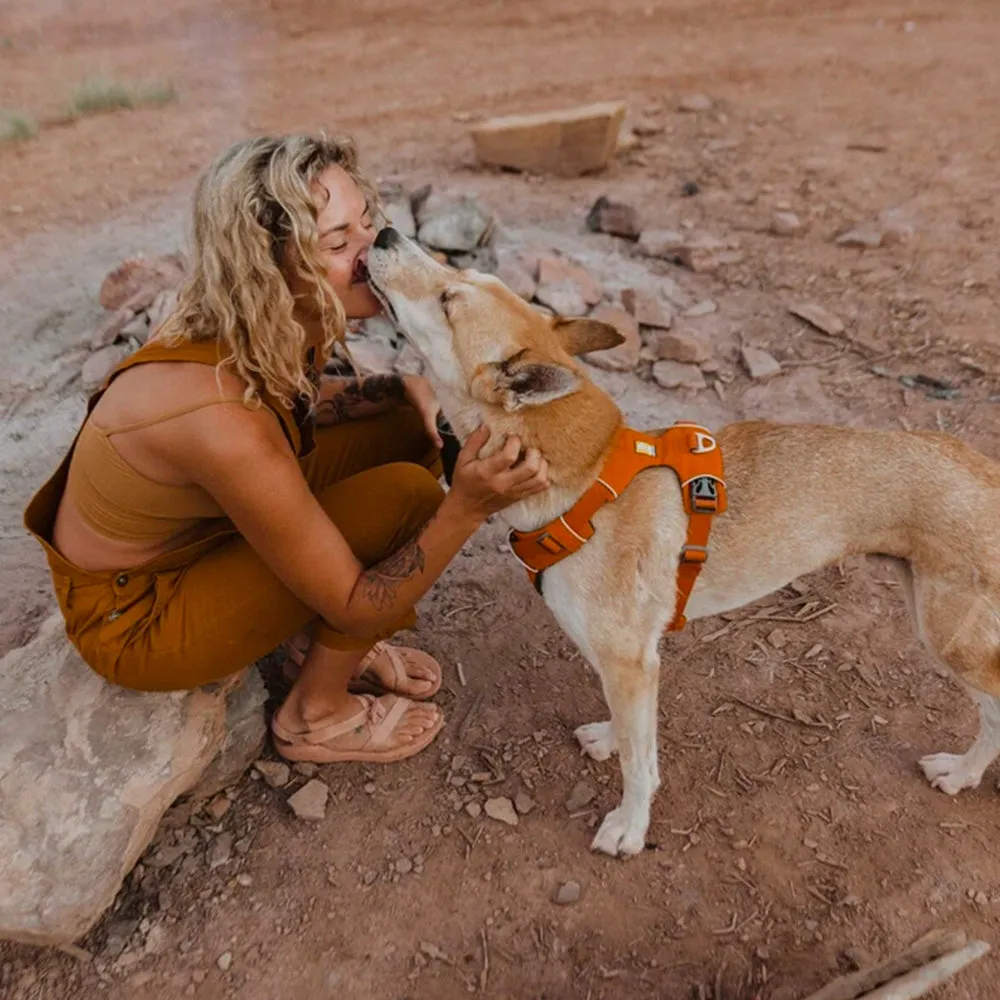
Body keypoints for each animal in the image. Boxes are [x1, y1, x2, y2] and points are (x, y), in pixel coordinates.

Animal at [368, 229, 1000, 860]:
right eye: (459, 277)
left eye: (449, 299)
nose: (385, 232)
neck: (587, 474)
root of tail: (987, 469)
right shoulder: (629, 662)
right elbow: (630, 731)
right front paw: (609, 736)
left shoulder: (629, 659)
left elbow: (640, 765)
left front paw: (630, 827)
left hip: (952, 640)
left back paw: (962, 772)